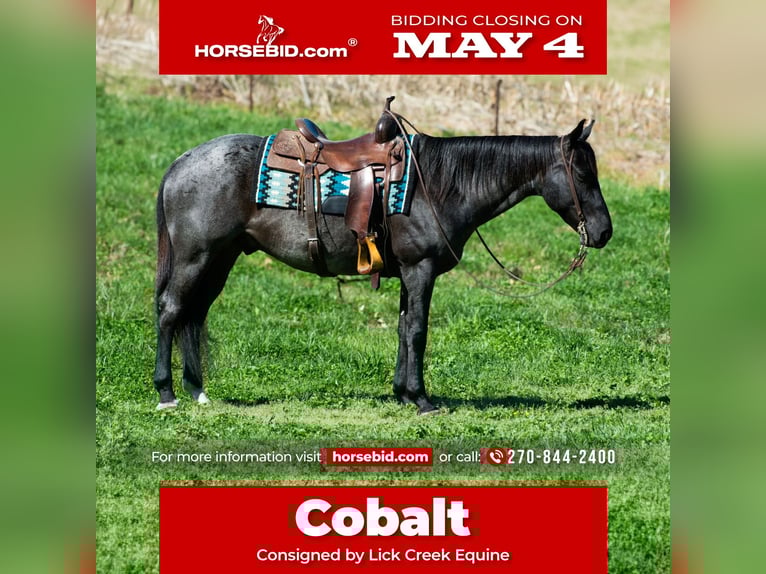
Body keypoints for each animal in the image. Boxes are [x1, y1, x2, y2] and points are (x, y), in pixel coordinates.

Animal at [153, 118, 612, 413]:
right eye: (582, 174)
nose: (604, 232)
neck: (439, 185)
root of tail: (181, 161)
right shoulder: (420, 269)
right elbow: (419, 331)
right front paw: (422, 399)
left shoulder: (409, 273)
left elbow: (403, 329)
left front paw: (403, 393)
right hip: (197, 257)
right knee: (172, 311)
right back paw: (167, 394)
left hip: (220, 259)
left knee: (194, 314)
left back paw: (197, 390)